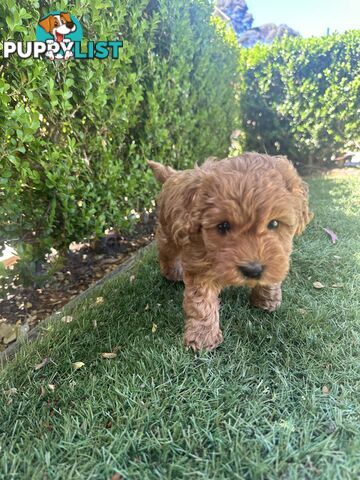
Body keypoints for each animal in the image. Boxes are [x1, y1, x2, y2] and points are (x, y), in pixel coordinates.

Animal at [148, 154, 312, 352]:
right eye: (223, 226)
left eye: (274, 223)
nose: (252, 270)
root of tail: (175, 175)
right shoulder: (199, 263)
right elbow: (201, 302)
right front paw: (203, 336)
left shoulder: (279, 255)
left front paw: (267, 300)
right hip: (167, 232)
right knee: (167, 253)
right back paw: (173, 274)